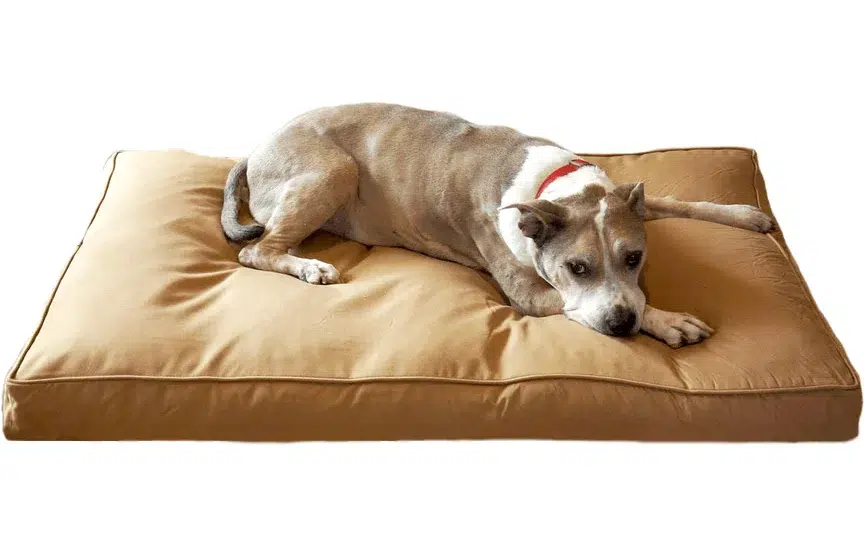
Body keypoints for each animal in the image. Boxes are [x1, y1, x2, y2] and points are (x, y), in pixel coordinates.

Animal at [223, 104, 776, 348]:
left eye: (634, 257)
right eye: (576, 268)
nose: (622, 325)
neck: (557, 187)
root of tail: (257, 147)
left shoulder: (627, 198)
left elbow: (675, 200)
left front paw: (745, 215)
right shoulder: (531, 294)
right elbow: (581, 305)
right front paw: (666, 320)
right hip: (333, 172)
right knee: (256, 251)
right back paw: (311, 267)